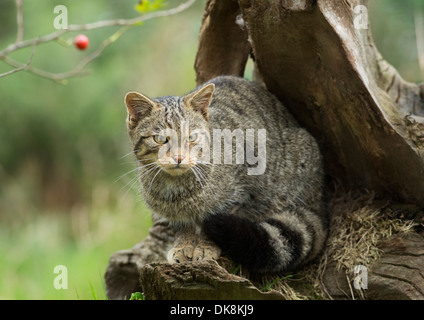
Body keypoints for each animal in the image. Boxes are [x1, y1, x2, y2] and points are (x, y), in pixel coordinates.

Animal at [123, 75, 328, 272]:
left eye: (192, 137)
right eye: (160, 139)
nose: (179, 157)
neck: (177, 188)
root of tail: (318, 198)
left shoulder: (239, 193)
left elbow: (213, 223)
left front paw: (205, 247)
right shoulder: (177, 215)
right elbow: (184, 228)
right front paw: (183, 246)